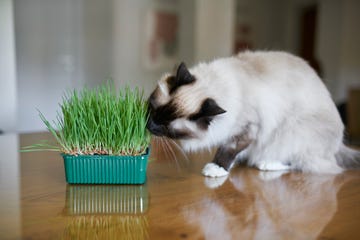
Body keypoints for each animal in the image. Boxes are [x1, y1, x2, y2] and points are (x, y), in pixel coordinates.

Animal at [146, 50, 360, 177]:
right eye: (153, 110)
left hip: (292, 131)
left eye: (166, 126)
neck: (218, 86)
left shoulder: (247, 129)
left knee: (299, 161)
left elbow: (228, 149)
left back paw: (267, 164)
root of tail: (339, 145)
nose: (149, 126)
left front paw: (217, 168)